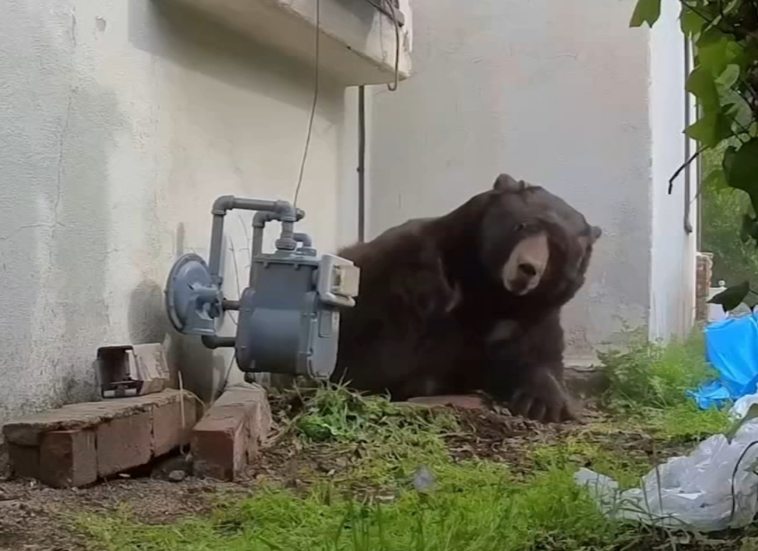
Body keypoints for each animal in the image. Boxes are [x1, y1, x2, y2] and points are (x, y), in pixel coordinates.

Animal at [331, 173, 602, 423]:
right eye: (522, 225)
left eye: (558, 247)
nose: (527, 268)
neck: (485, 286)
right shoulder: (407, 273)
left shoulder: (534, 313)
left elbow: (538, 354)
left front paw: (542, 402)